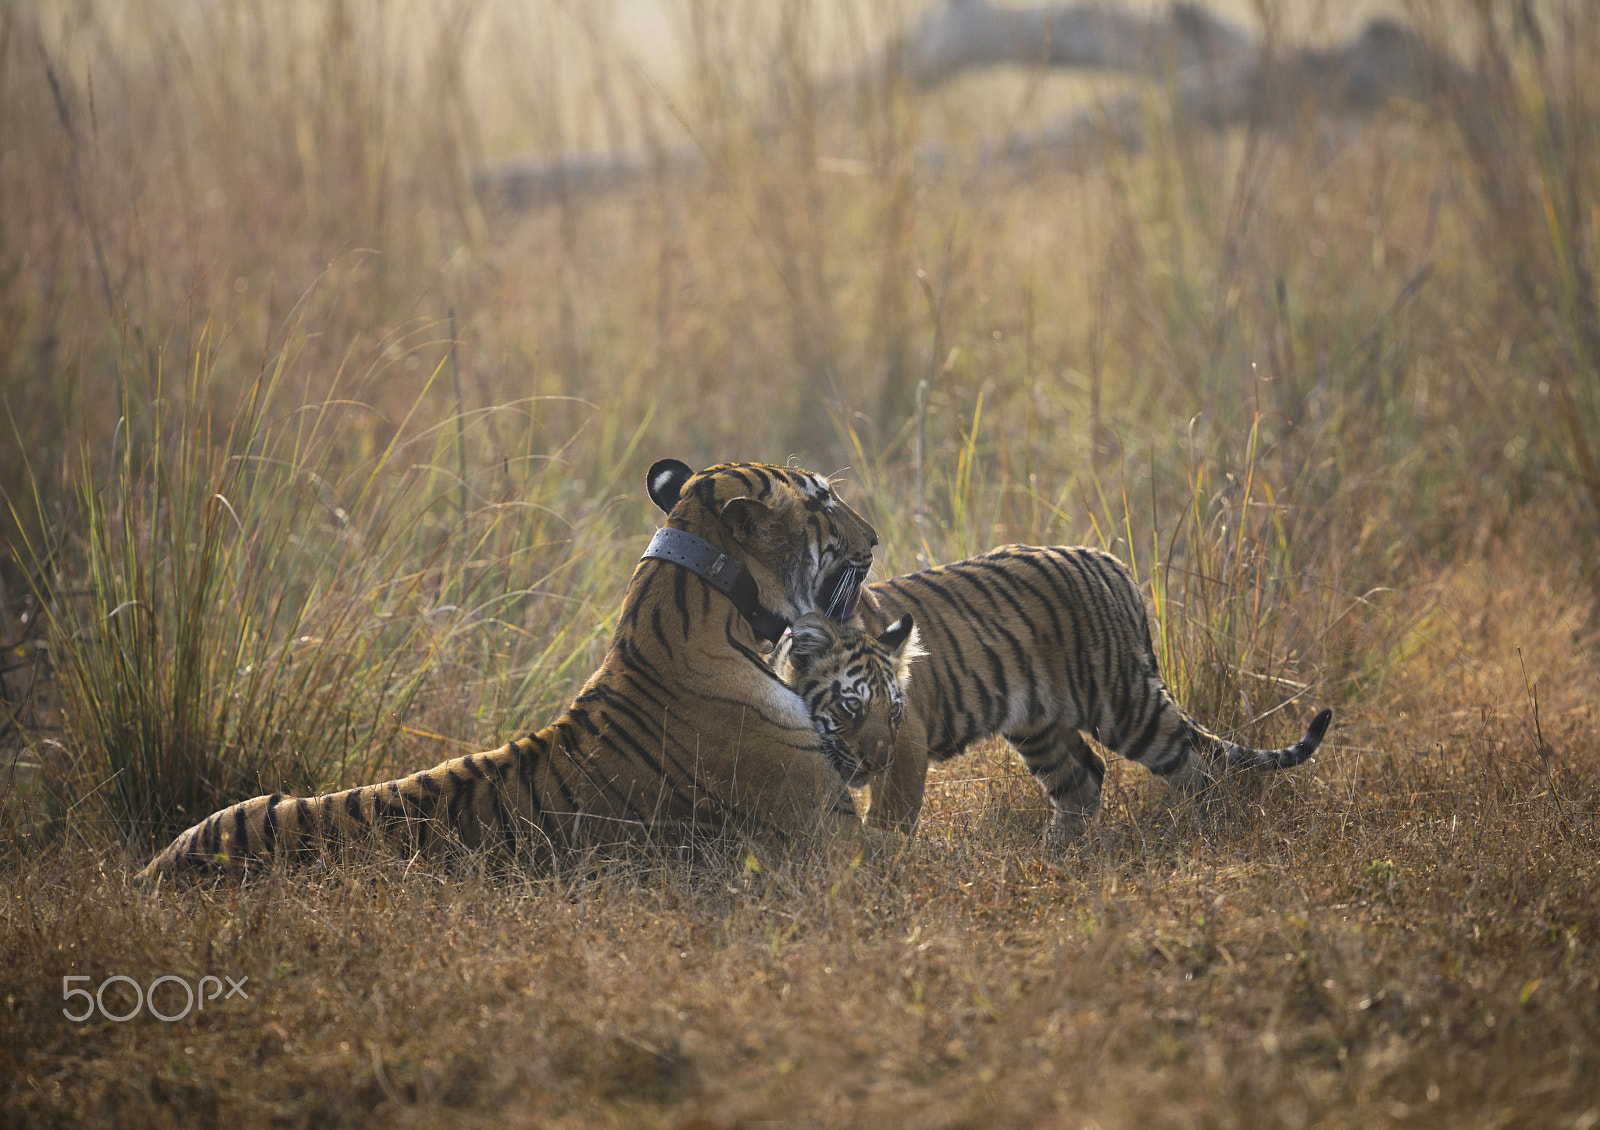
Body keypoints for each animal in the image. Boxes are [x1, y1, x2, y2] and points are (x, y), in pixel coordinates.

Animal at [849, 544, 1333, 847]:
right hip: (1037, 724)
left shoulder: (904, 741)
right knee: (1081, 778)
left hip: (1123, 704)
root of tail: (1108, 561)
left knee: (1197, 766)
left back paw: (1211, 833)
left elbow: (889, 817)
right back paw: (1057, 855)